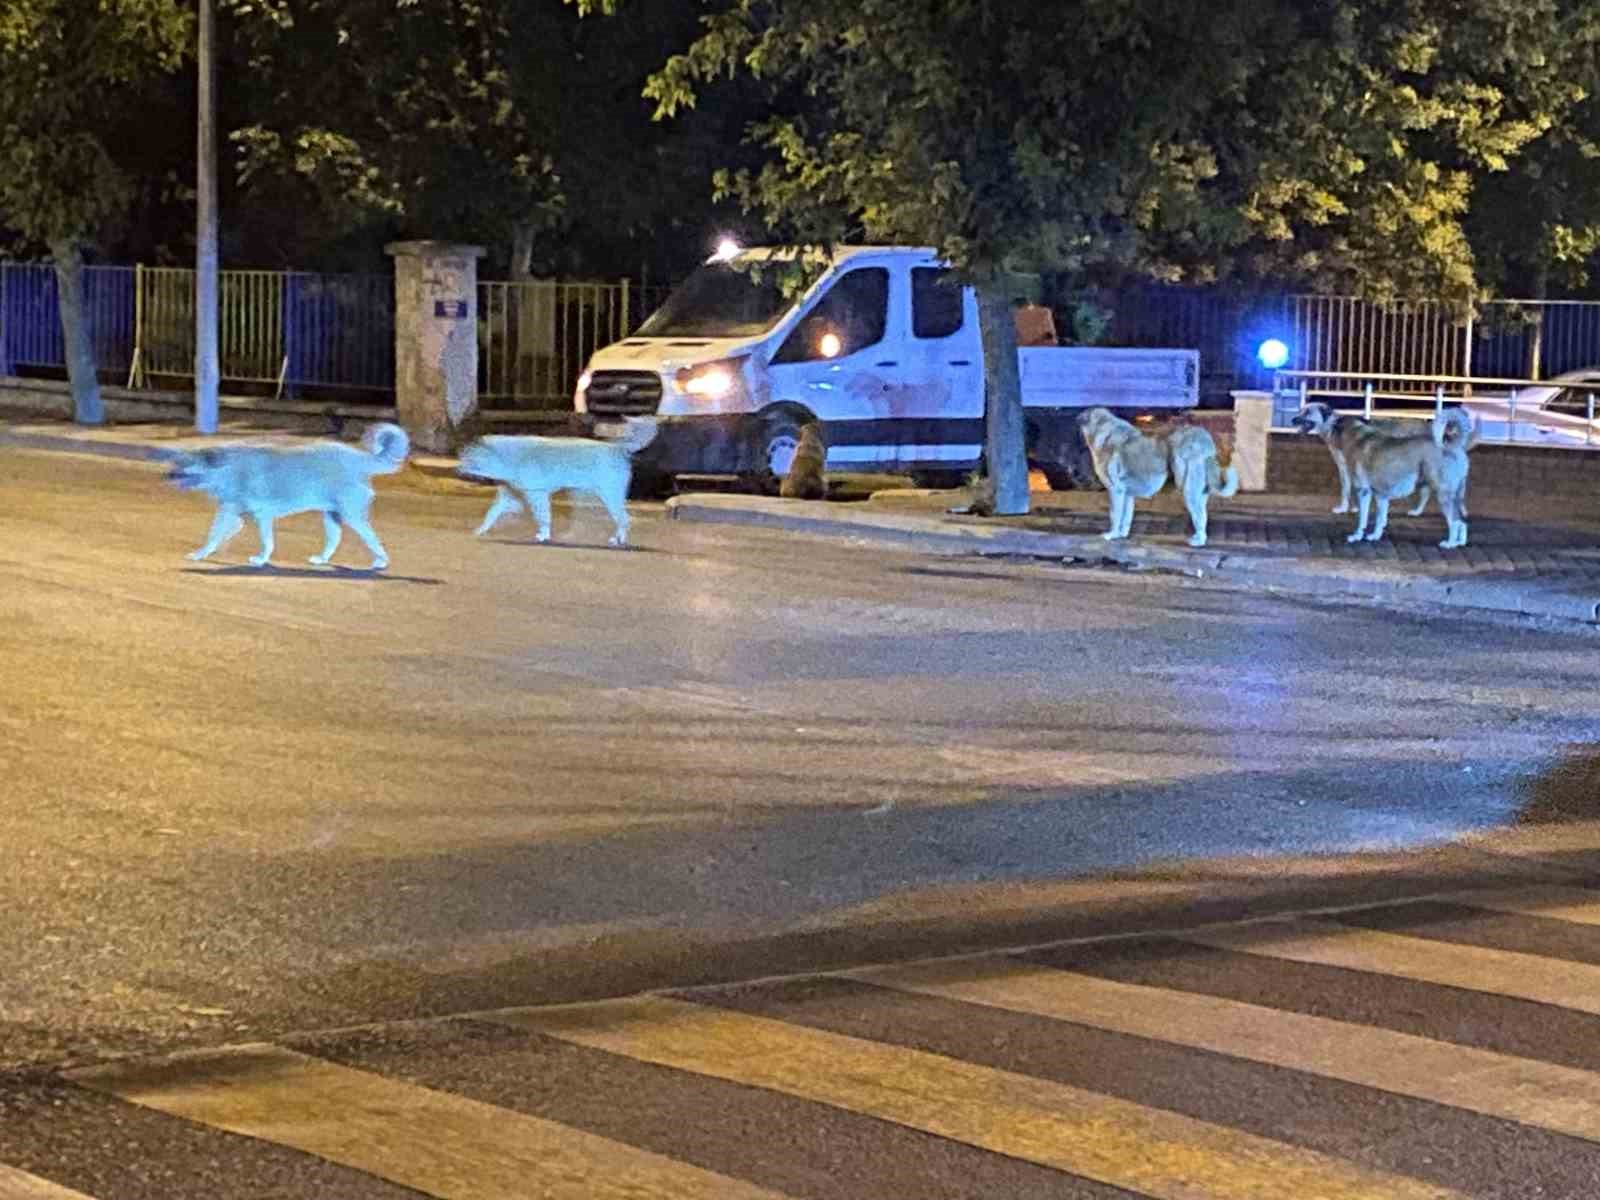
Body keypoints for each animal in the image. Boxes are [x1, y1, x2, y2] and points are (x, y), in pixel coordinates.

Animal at [163, 422, 409, 572]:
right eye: (178, 461)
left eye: (185, 464)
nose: (167, 475)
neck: (226, 468)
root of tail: (359, 458)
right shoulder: (232, 514)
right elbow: (214, 536)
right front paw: (205, 553)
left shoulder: (262, 515)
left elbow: (265, 541)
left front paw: (261, 559)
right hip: (331, 514)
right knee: (334, 538)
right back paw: (323, 559)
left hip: (352, 515)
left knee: (372, 538)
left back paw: (381, 560)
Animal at [460, 412, 659, 544]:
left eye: (468, 458)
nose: (457, 469)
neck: (506, 457)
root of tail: (617, 448)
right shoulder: (507, 494)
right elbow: (491, 514)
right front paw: (479, 531)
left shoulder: (537, 494)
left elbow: (543, 517)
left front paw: (543, 536)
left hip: (609, 495)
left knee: (624, 518)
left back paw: (619, 540)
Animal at [1081, 409, 1241, 550]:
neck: (1104, 432)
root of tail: (1203, 437)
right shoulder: (1126, 494)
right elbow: (1125, 517)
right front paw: (1121, 535)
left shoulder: (1116, 491)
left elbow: (1114, 515)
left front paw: (1112, 535)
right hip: (1198, 490)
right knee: (1202, 516)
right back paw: (1198, 538)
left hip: (1187, 488)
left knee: (1200, 515)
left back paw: (1198, 542)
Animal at [1286, 404, 1440, 518]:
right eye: (1301, 410)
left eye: (1307, 412)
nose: (1292, 419)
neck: (1332, 425)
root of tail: (1430, 428)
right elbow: (1351, 488)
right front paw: (1354, 508)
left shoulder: (1346, 466)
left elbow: (1346, 489)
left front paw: (1344, 508)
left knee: (1426, 491)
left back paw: (1417, 511)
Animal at [1337, 409, 1472, 550]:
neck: (1357, 436)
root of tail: (1453, 447)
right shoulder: (1381, 496)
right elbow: (1380, 519)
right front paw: (1375, 536)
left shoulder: (1363, 492)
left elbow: (1362, 520)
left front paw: (1356, 536)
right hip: (1454, 495)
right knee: (1462, 522)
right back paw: (1459, 542)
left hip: (1443, 495)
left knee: (1454, 522)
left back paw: (1450, 543)